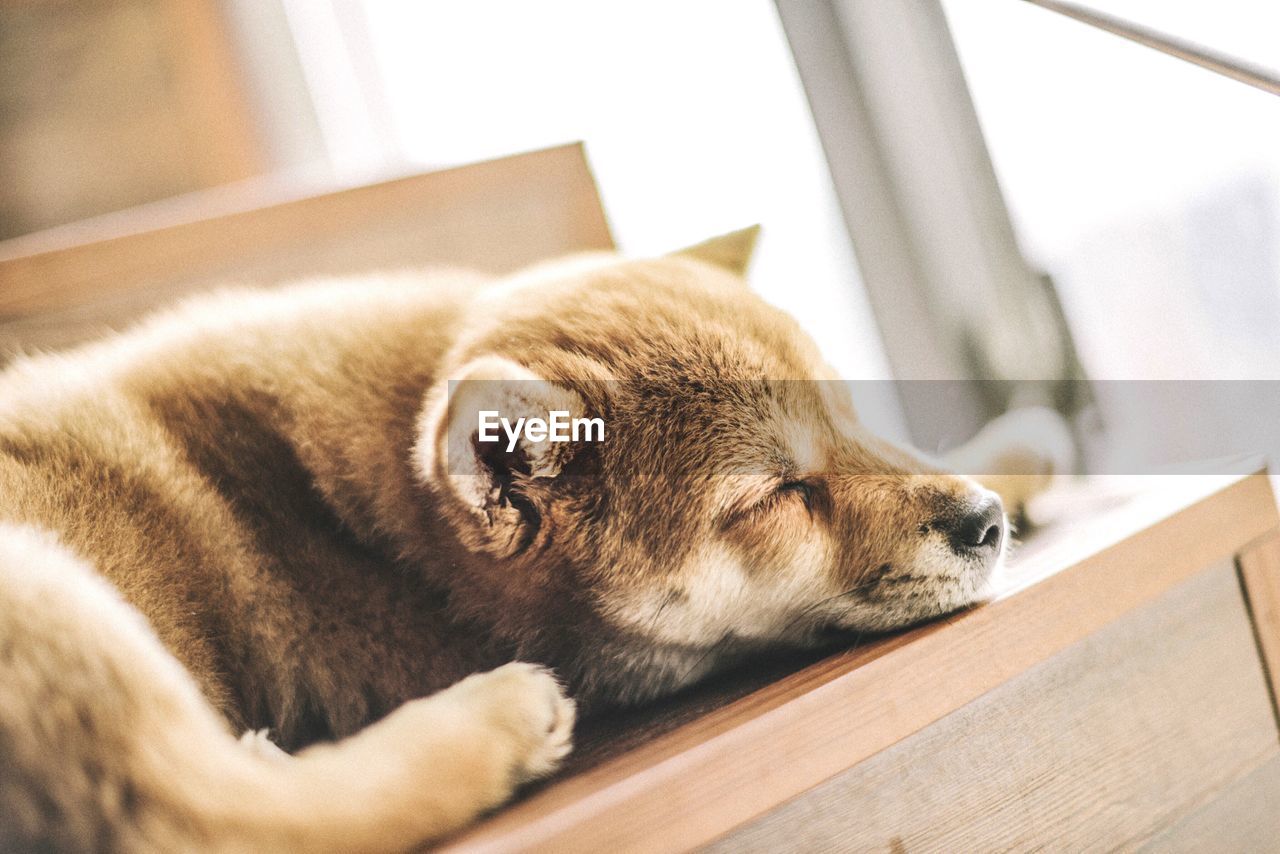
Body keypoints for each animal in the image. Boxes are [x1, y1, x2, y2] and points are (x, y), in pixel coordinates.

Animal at [0, 230, 1054, 850]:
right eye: (776, 494)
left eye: (852, 416)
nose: (983, 524)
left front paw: (1007, 455)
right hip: (48, 592)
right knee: (200, 816)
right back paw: (490, 724)